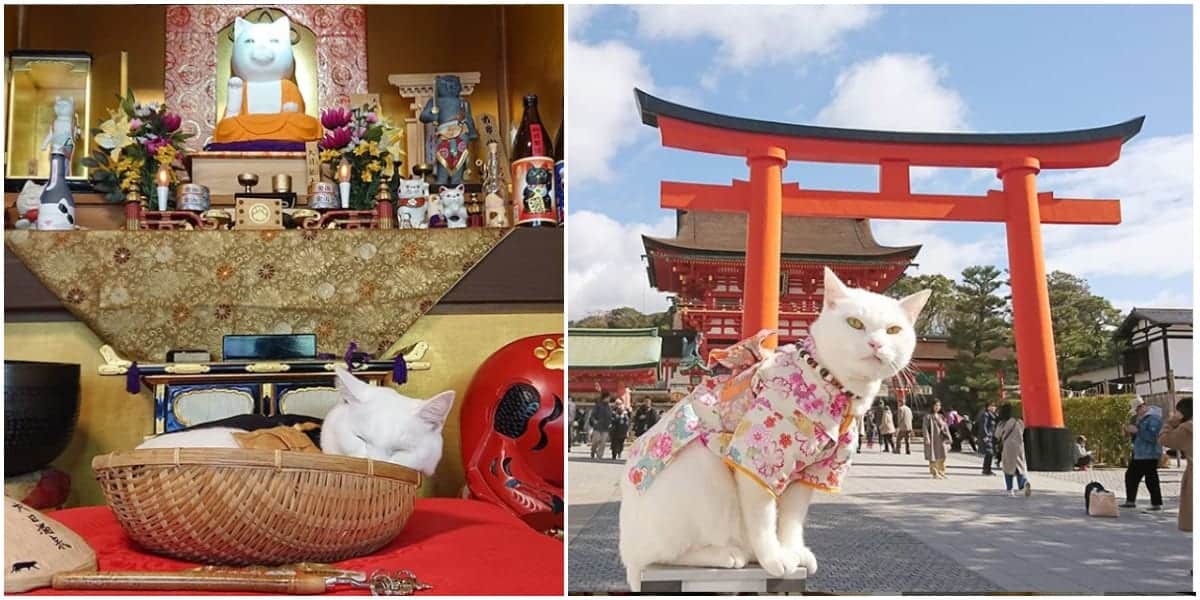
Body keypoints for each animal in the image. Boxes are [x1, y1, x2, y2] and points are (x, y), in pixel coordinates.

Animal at [614, 270, 931, 592]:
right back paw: (730, 554)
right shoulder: (756, 459)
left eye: (893, 330)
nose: (876, 344)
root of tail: (628, 554)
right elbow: (763, 518)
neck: (836, 387)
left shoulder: (812, 471)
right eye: (855, 323)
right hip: (702, 469)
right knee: (666, 553)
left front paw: (791, 551)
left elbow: (792, 519)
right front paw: (773, 558)